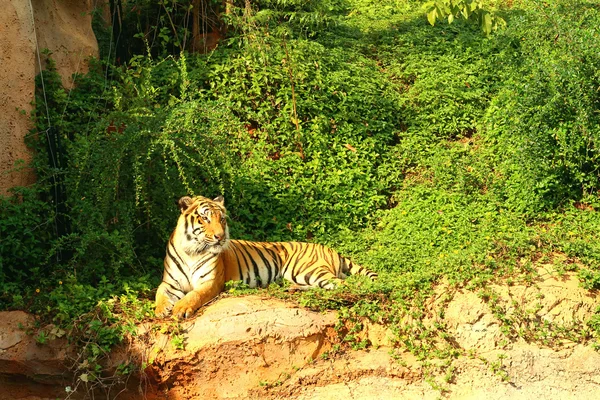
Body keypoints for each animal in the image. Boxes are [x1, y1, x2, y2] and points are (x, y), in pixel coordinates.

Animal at [157, 195, 378, 318]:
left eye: (222, 219)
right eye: (205, 218)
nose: (220, 236)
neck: (192, 250)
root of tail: (331, 249)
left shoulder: (211, 282)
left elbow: (195, 295)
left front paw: (180, 308)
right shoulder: (170, 282)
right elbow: (159, 293)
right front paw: (161, 309)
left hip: (308, 270)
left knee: (342, 285)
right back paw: (292, 289)